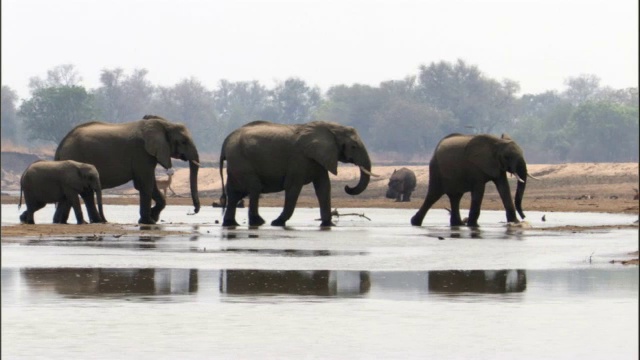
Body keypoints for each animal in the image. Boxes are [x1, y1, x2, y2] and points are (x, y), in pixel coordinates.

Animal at [54, 115, 200, 224]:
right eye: (184, 141)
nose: (192, 211)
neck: (164, 123)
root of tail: (61, 144)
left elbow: (149, 184)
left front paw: (153, 217)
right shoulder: (141, 152)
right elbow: (145, 184)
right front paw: (148, 221)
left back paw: (61, 221)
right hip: (75, 156)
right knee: (85, 192)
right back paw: (96, 221)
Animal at [220, 121, 376, 228]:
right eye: (353, 146)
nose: (347, 187)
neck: (330, 127)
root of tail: (226, 140)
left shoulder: (319, 159)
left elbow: (324, 188)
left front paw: (328, 225)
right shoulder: (298, 160)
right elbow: (293, 187)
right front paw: (277, 222)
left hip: (236, 163)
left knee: (233, 193)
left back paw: (231, 224)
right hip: (241, 160)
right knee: (255, 188)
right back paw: (259, 222)